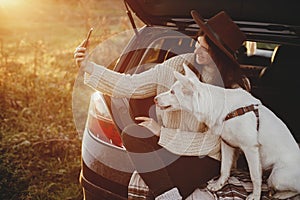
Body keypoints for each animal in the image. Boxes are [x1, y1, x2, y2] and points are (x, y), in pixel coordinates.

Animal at [155, 64, 300, 200]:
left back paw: (280, 194)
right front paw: (219, 184)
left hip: (277, 176)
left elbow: (254, 176)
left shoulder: (250, 149)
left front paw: (255, 195)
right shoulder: (227, 144)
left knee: (295, 189)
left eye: (172, 92)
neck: (226, 111)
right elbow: (224, 169)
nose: (155, 99)